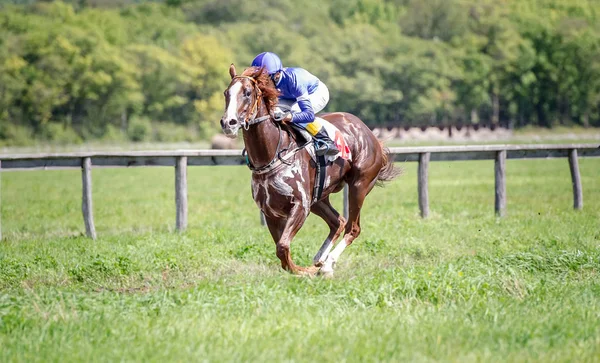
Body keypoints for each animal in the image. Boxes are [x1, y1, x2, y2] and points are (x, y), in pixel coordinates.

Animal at [220, 64, 398, 276]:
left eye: (247, 93)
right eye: (226, 93)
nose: (228, 123)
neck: (273, 154)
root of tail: (368, 132)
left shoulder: (300, 205)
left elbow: (282, 247)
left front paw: (303, 271)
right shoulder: (270, 211)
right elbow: (282, 250)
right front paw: (305, 269)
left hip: (359, 186)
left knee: (352, 228)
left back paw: (327, 265)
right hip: (319, 197)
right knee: (338, 222)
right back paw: (319, 259)